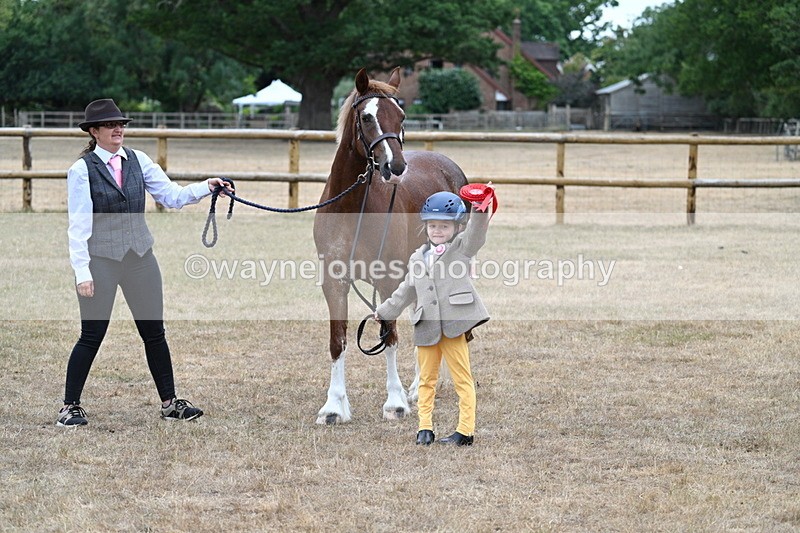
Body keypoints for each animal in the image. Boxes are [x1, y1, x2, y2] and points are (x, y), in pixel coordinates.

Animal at [313, 68, 468, 424]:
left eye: (401, 116)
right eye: (367, 117)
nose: (394, 167)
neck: (352, 209)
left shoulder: (387, 280)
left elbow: (390, 336)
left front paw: (395, 402)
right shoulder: (334, 282)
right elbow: (337, 341)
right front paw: (334, 406)